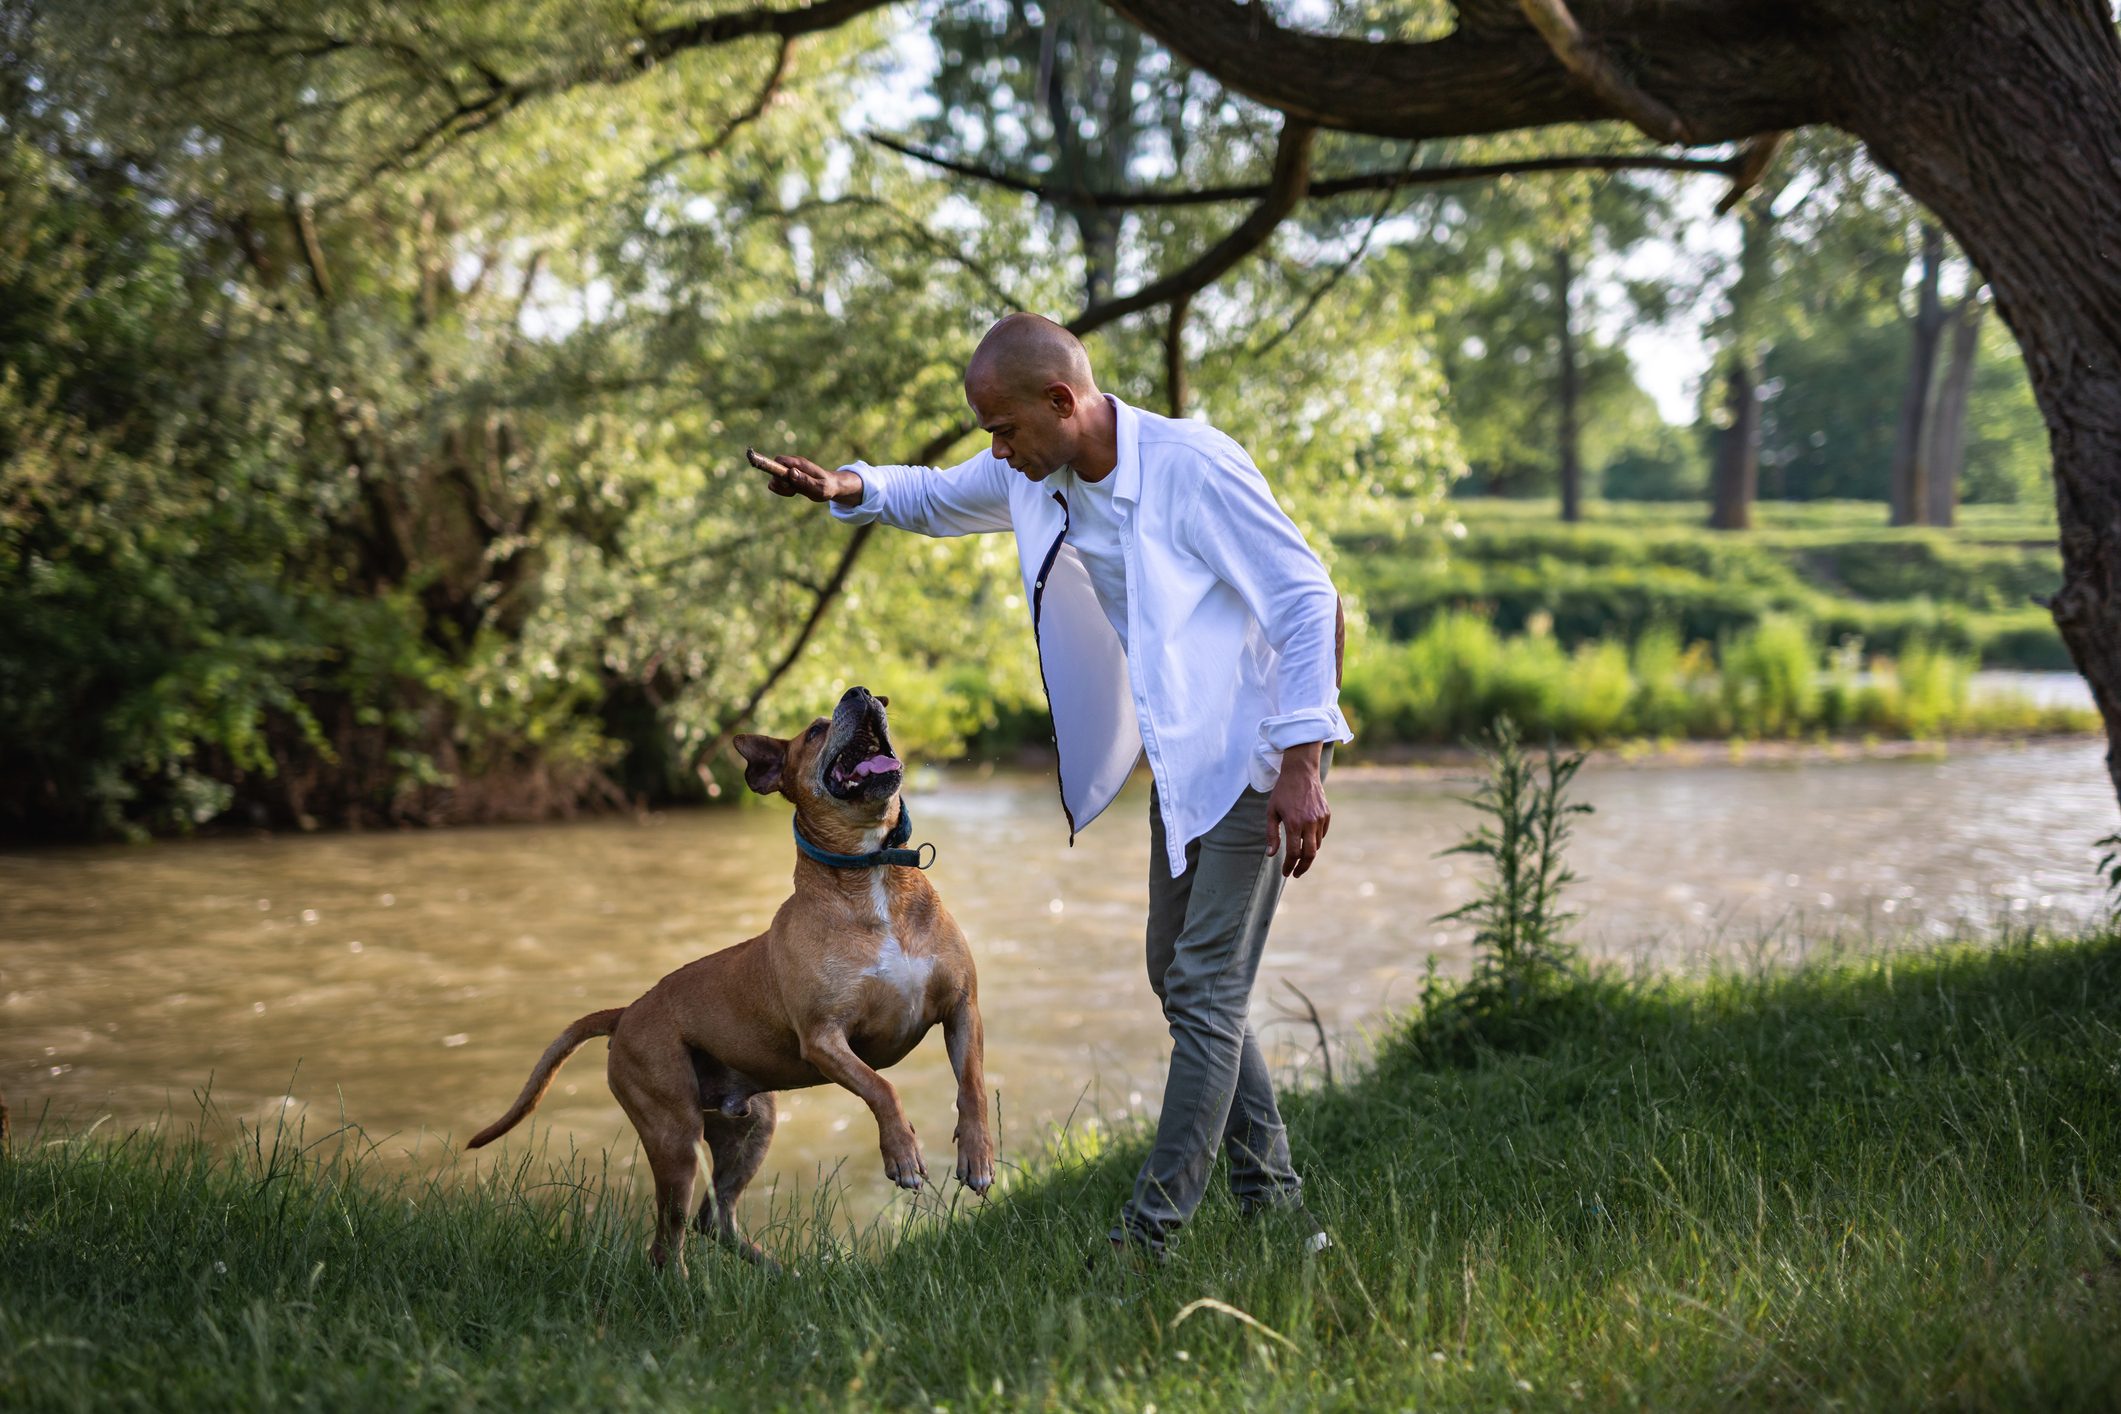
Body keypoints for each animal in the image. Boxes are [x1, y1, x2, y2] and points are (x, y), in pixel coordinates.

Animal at [466, 686, 992, 1271]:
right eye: (815, 730)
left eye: (874, 697)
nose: (862, 692)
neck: (873, 873)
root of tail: (627, 1012)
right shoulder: (824, 1038)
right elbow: (882, 1087)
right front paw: (902, 1153)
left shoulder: (962, 1008)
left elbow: (971, 1084)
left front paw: (976, 1158)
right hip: (674, 1136)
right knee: (668, 1238)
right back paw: (686, 1284)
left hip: (752, 1126)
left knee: (714, 1217)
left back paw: (784, 1273)